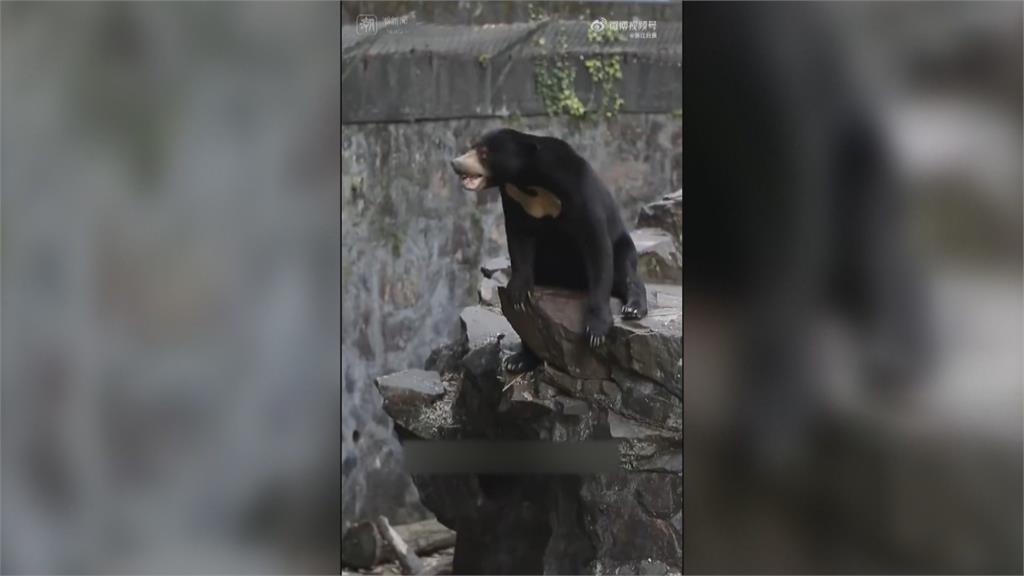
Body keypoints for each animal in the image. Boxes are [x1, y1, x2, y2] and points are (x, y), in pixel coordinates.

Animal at [451, 128, 648, 373]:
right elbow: (518, 237)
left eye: (484, 152)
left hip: (623, 246)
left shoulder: (577, 188)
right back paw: (518, 360)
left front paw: (596, 330)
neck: (528, 180)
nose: (455, 163)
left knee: (625, 272)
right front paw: (518, 293)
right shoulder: (514, 198)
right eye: (473, 146)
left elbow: (596, 245)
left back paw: (633, 308)